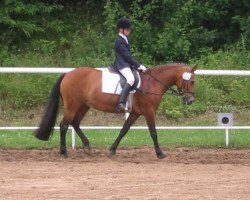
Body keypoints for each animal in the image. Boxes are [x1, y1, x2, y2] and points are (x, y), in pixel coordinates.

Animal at [34, 63, 196, 159]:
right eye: (192, 81)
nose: (190, 101)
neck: (152, 83)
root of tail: (67, 74)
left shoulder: (135, 113)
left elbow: (124, 130)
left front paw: (112, 150)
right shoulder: (149, 112)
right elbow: (153, 133)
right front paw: (160, 153)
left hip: (83, 106)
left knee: (75, 123)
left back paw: (87, 147)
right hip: (72, 106)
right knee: (64, 125)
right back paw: (64, 152)